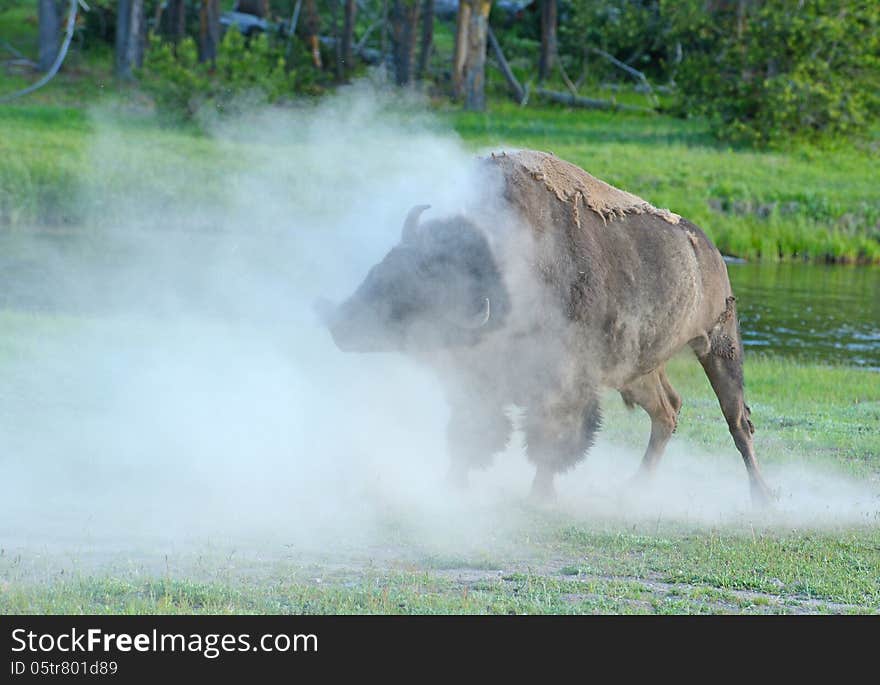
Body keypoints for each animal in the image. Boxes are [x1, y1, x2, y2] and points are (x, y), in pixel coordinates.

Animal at [320, 150, 772, 502]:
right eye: (382, 268)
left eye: (416, 295)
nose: (339, 323)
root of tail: (709, 250)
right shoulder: (477, 382)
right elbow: (471, 431)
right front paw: (453, 483)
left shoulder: (565, 383)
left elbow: (550, 438)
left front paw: (541, 493)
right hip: (638, 371)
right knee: (667, 410)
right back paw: (635, 487)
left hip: (720, 345)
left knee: (737, 421)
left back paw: (761, 495)